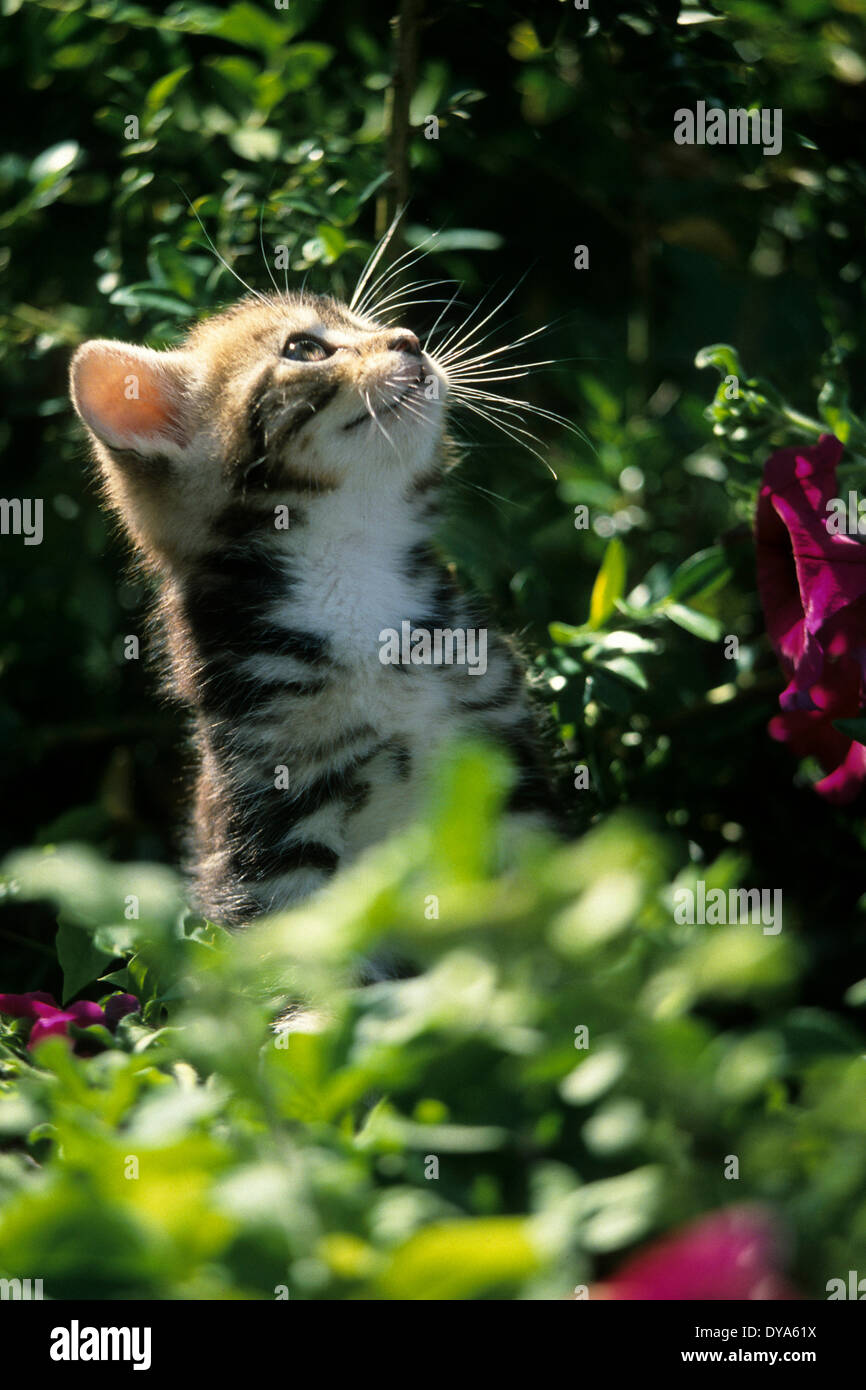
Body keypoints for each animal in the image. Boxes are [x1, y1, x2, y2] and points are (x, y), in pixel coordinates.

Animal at [69, 287, 556, 928]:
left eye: (373, 325)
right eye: (304, 348)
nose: (409, 339)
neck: (351, 567)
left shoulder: (505, 758)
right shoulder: (271, 816)